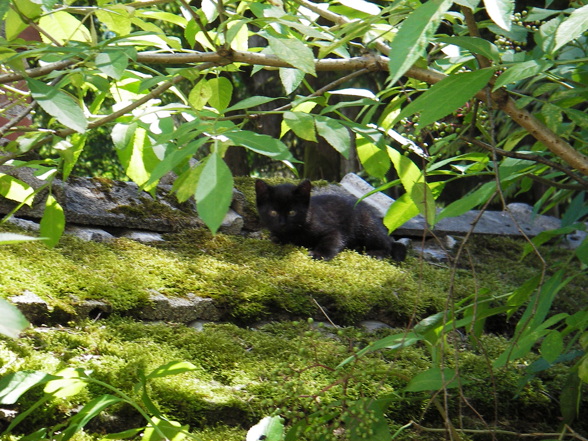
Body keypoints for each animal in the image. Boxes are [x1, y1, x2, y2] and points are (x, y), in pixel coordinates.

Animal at [255, 179, 406, 262]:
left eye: (292, 212)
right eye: (273, 212)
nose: (282, 223)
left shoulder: (333, 230)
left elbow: (331, 240)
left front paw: (319, 254)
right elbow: (276, 238)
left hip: (367, 227)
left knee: (387, 245)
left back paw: (375, 253)